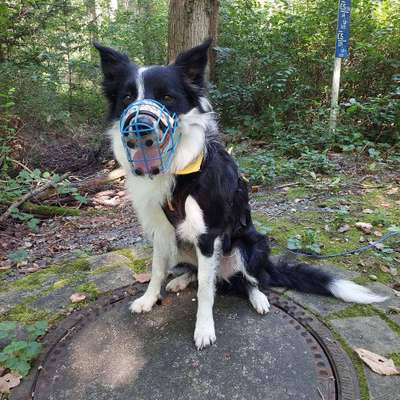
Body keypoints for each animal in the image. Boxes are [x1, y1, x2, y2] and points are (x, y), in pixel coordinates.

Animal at [95, 39, 386, 348]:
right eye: (127, 97)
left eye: (167, 97)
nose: (138, 127)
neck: (179, 170)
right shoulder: (161, 230)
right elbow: (156, 270)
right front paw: (148, 299)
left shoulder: (208, 235)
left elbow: (206, 291)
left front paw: (204, 328)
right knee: (200, 273)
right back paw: (180, 280)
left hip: (250, 246)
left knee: (251, 281)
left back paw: (258, 298)